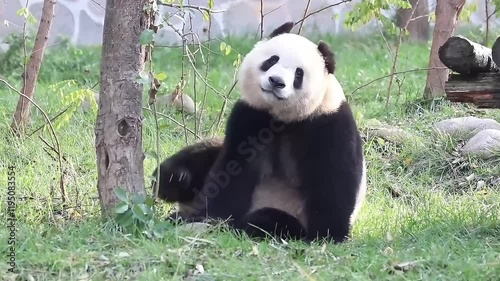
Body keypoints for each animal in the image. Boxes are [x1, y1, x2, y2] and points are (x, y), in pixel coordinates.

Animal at [152, 21, 368, 241]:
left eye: (299, 74)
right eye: (272, 60)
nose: (276, 81)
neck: (282, 119)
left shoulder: (328, 125)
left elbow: (333, 183)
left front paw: (325, 234)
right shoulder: (250, 117)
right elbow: (232, 171)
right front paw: (213, 217)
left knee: (270, 220)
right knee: (200, 155)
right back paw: (174, 180)